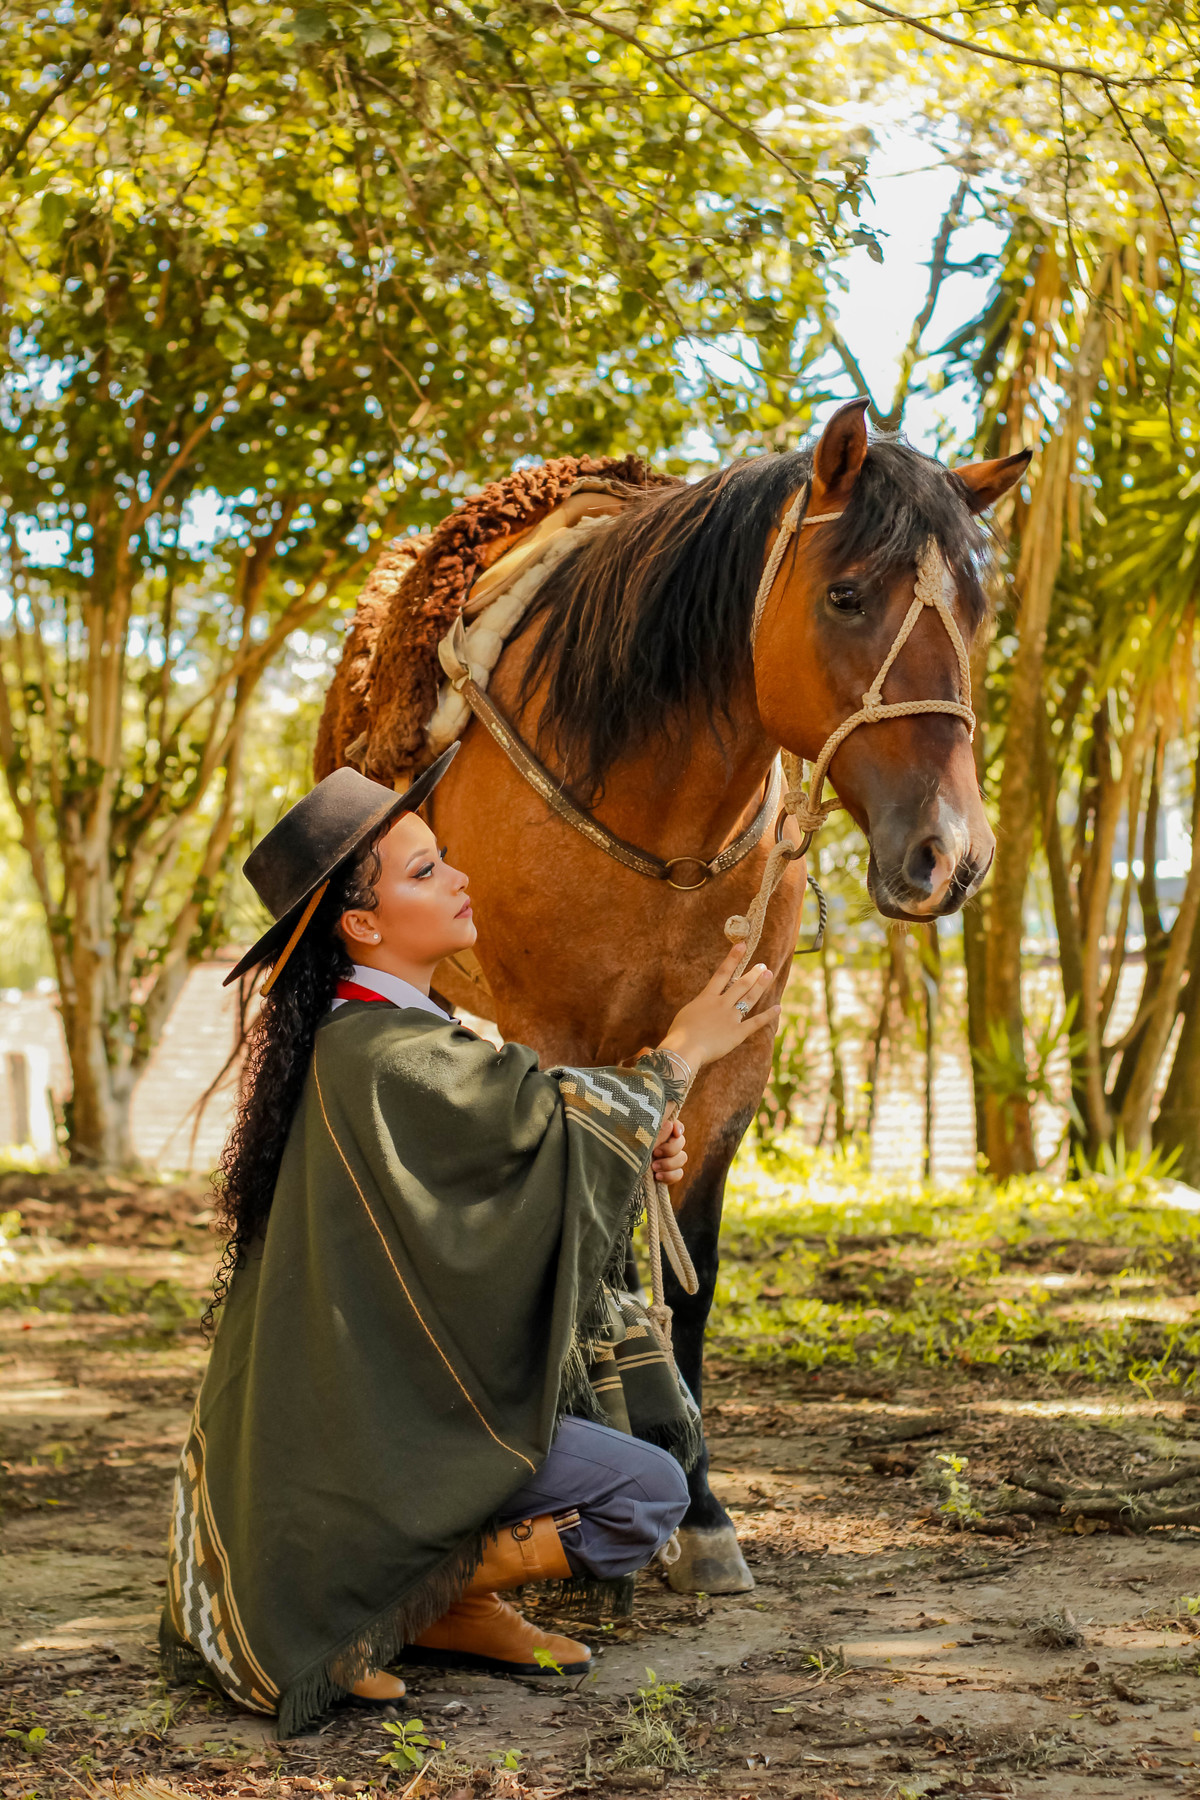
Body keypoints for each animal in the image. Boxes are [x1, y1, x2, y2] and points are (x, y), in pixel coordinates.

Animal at [329, 398, 1028, 1592]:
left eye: (979, 614)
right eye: (847, 595)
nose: (951, 856)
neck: (657, 809)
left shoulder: (733, 1059)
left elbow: (684, 1269)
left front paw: (700, 1512)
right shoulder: (555, 1034)